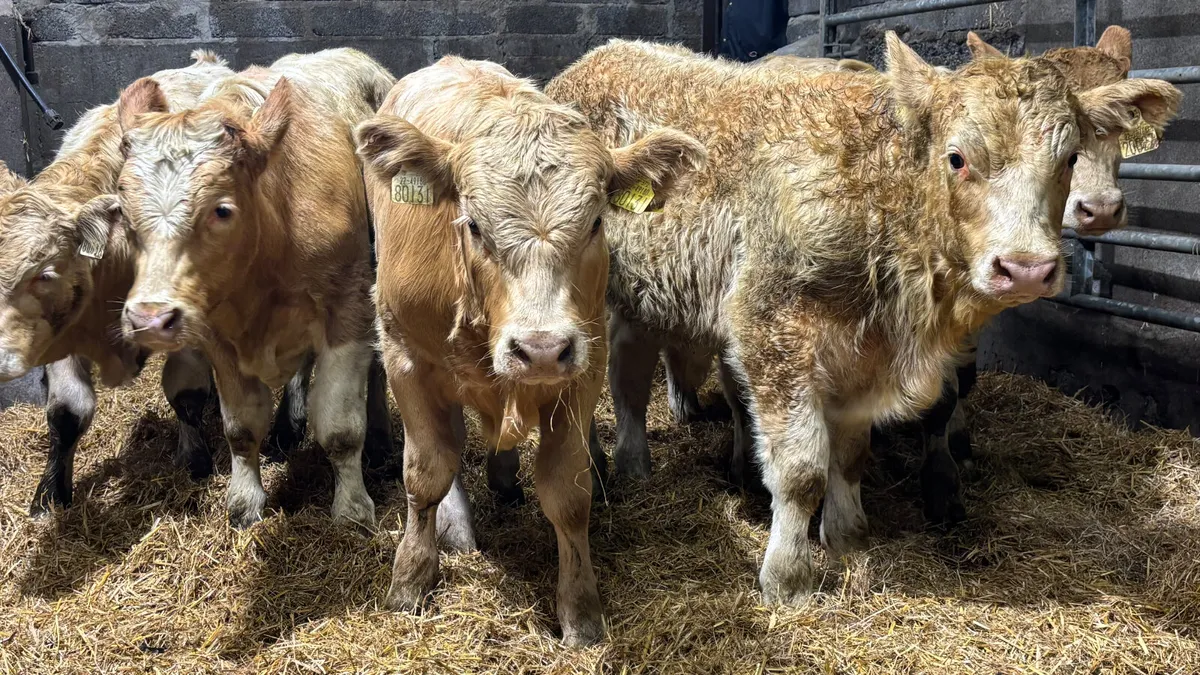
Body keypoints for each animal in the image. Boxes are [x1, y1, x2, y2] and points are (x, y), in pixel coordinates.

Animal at [114, 49, 395, 529]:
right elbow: (241, 428)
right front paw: (244, 503)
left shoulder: (347, 305)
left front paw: (353, 510)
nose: (150, 318)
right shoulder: (217, 333)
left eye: (222, 209)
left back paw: (379, 441)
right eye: (121, 205)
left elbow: (340, 426)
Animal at [353, 56, 704, 646]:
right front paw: (410, 578)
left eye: (596, 222)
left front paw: (580, 612)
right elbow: (426, 472)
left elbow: (567, 492)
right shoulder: (405, 357)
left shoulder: (583, 368)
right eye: (473, 224)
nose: (539, 349)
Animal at [547, 33, 1153, 603]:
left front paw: (847, 535)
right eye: (956, 158)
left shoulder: (866, 353)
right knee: (608, 377)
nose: (1026, 268)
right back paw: (616, 464)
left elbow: (853, 453)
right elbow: (801, 470)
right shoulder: (771, 327)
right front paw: (788, 576)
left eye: (1069, 157)